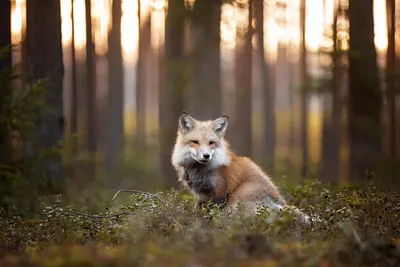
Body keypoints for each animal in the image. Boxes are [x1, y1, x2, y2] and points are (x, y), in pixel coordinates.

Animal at [170, 111, 310, 226]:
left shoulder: (219, 192)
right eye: (195, 142)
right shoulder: (202, 195)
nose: (206, 156)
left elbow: (210, 214)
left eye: (211, 143)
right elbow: (198, 211)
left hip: (238, 200)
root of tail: (281, 204)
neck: (199, 170)